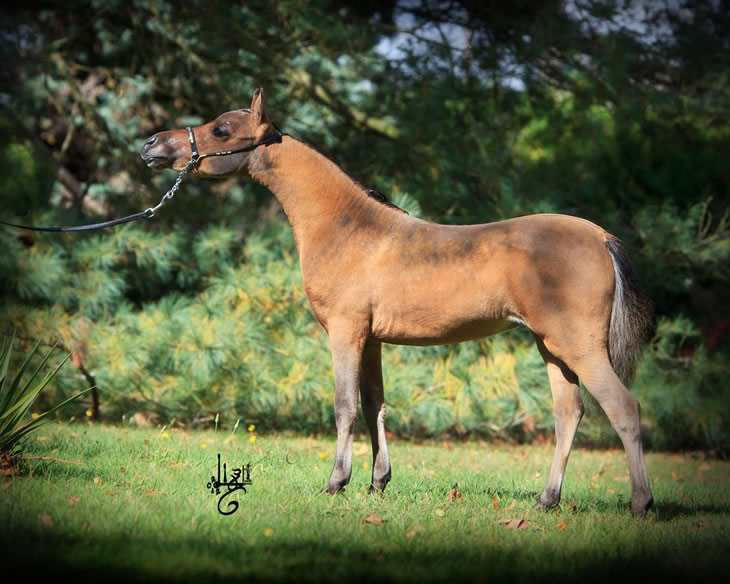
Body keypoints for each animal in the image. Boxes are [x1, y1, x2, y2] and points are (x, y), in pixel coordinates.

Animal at [139, 86, 652, 516]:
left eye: (221, 130)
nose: (153, 145)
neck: (346, 227)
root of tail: (601, 237)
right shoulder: (371, 340)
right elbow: (374, 405)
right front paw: (377, 482)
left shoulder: (345, 332)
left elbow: (344, 406)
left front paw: (336, 482)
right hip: (552, 348)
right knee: (569, 414)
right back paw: (547, 500)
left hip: (578, 346)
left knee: (624, 409)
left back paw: (640, 504)